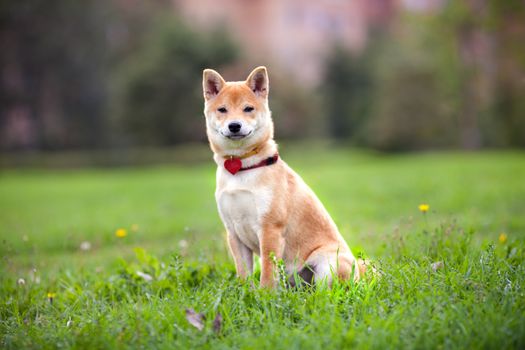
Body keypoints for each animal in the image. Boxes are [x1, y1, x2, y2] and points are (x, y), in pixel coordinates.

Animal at [202, 66, 364, 288]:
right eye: (222, 110)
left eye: (248, 109)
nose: (234, 125)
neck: (243, 167)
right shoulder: (233, 233)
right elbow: (243, 272)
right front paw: (246, 292)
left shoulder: (270, 229)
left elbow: (268, 272)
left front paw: (265, 293)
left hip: (328, 263)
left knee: (326, 290)